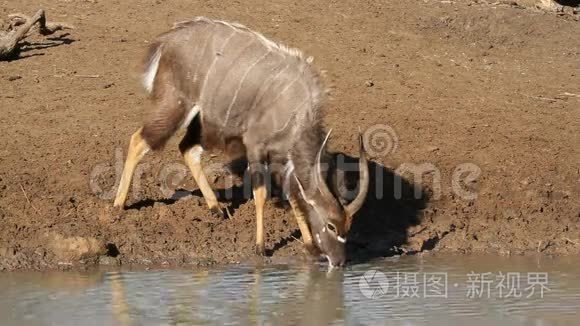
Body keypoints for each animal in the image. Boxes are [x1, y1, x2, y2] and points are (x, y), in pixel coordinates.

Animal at [112, 15, 368, 268]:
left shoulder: (283, 158)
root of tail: (166, 42)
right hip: (176, 105)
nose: (339, 262)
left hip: (203, 120)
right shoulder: (255, 146)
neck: (297, 110)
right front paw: (260, 247)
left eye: (349, 225)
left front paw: (310, 246)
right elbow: (261, 193)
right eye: (331, 225)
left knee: (187, 149)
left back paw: (216, 208)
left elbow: (294, 195)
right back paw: (117, 206)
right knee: (139, 140)